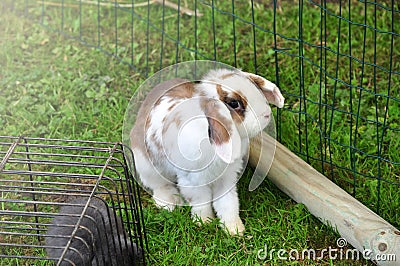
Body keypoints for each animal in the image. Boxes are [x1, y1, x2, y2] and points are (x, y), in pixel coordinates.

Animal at [130, 68, 282, 235]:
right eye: (234, 103)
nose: (267, 114)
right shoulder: (192, 180)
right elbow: (201, 201)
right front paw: (204, 222)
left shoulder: (226, 178)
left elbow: (228, 203)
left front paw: (235, 229)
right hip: (146, 166)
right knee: (158, 185)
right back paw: (170, 202)